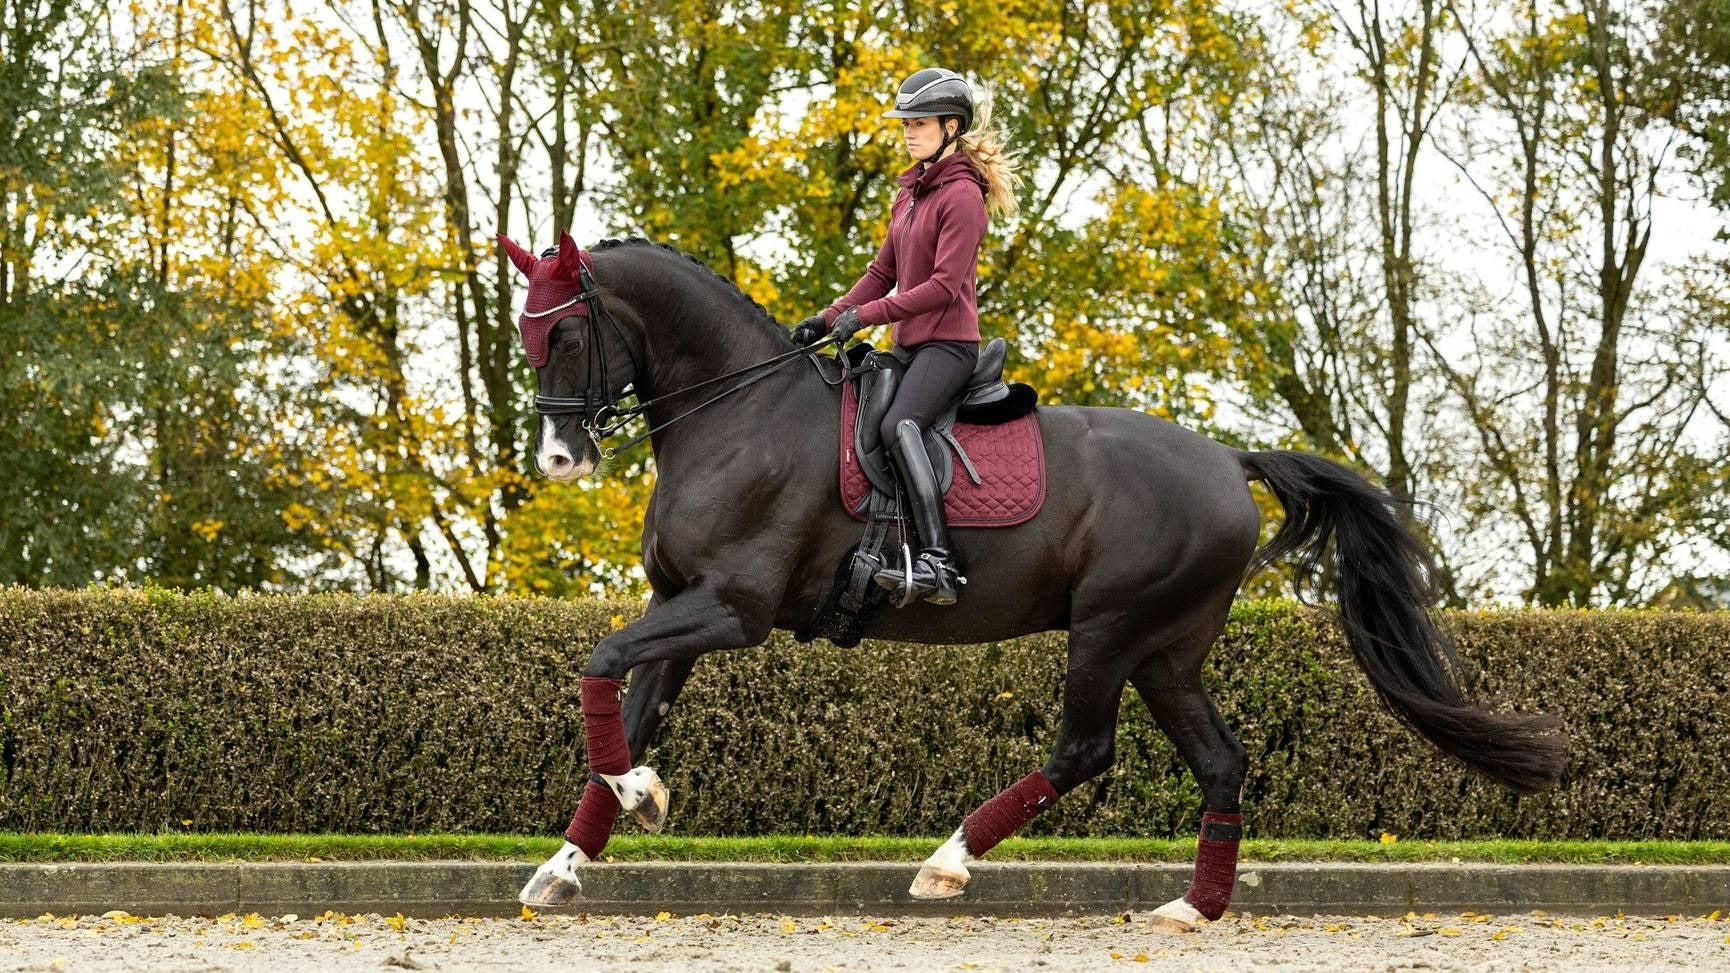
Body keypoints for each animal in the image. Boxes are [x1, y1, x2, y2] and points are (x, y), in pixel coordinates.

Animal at [501, 230, 1570, 927]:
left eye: (564, 334)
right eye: (526, 332)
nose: (557, 460)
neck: (738, 412)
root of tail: (1229, 460)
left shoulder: (731, 608)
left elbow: (599, 666)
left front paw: (635, 799)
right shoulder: (679, 603)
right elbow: (626, 705)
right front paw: (579, 849)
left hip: (1109, 628)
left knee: (1085, 749)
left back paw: (948, 862)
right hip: (1166, 649)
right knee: (1220, 760)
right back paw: (1192, 908)